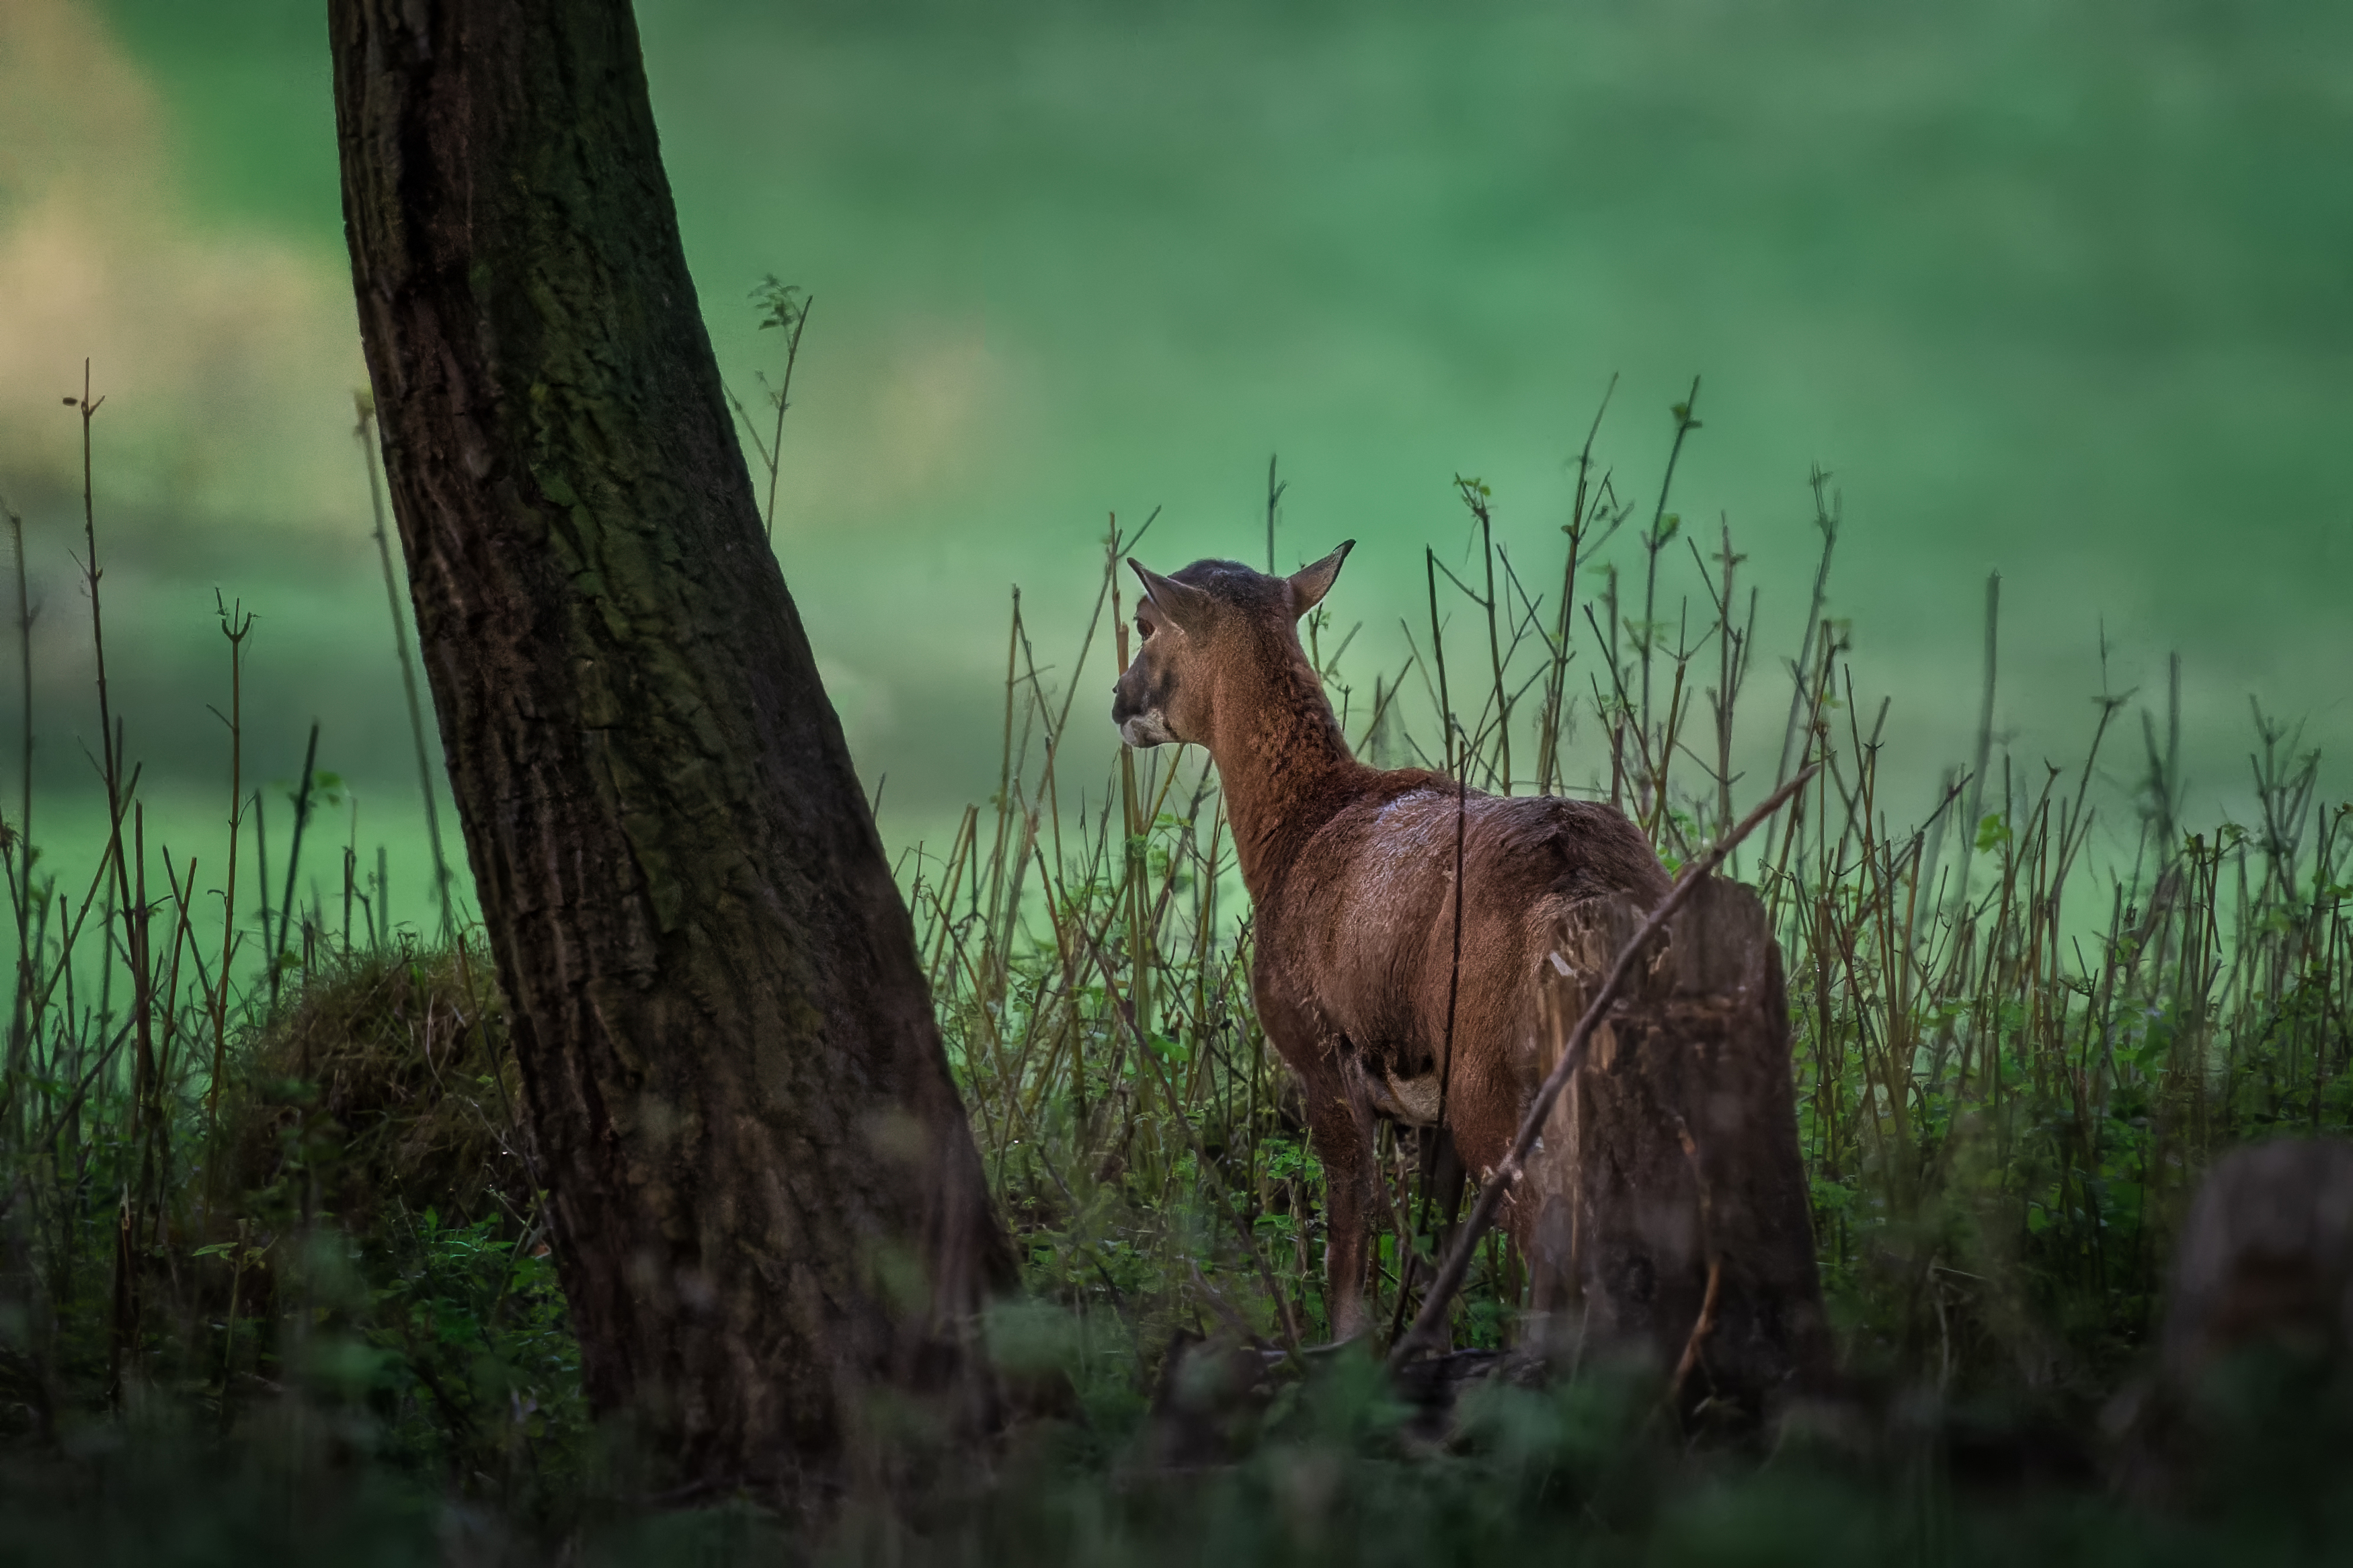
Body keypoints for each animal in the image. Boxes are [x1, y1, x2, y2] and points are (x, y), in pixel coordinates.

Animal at [1111, 545, 1666, 1344]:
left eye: (1145, 620)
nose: (1118, 701)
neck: (1305, 823)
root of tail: (1587, 895)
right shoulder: (1427, 1110)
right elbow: (1429, 1257)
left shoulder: (1322, 1058)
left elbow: (1351, 1248)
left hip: (1497, 1092)